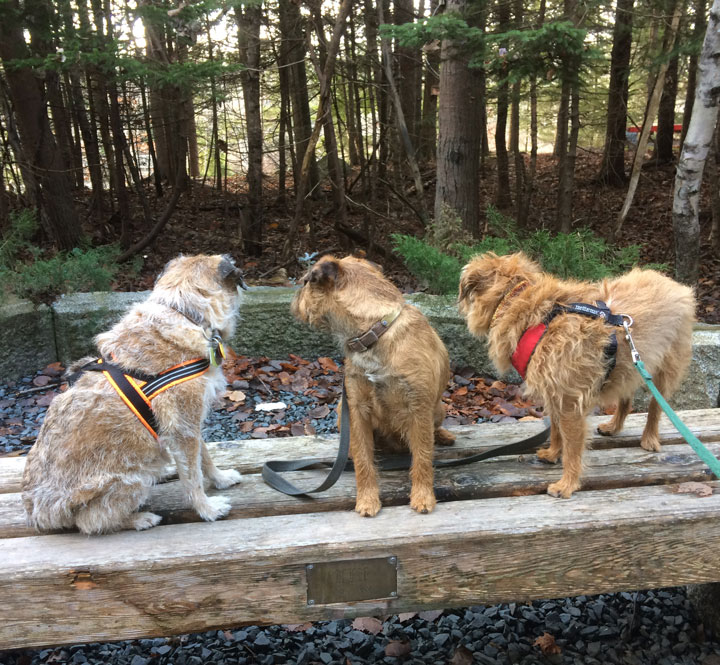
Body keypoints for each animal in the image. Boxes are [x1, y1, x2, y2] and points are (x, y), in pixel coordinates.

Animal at [22, 254, 247, 534]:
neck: (183, 312)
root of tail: (37, 513)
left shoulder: (188, 424)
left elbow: (203, 457)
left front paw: (220, 478)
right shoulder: (184, 428)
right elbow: (192, 476)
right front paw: (207, 509)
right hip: (132, 480)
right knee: (90, 521)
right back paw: (139, 519)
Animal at [291, 255, 456, 517]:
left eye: (306, 282)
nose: (294, 300)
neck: (376, 330)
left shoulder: (418, 408)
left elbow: (422, 456)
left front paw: (423, 497)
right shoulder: (356, 410)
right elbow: (363, 459)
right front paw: (367, 499)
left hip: (438, 408)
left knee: (431, 431)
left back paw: (442, 435)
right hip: (342, 408)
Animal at [458, 252, 696, 498]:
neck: (530, 311)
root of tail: (676, 285)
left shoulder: (570, 402)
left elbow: (572, 446)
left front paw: (567, 484)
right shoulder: (554, 394)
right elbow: (555, 429)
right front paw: (553, 453)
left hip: (665, 368)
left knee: (656, 407)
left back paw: (649, 438)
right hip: (630, 366)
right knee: (626, 397)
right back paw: (614, 426)